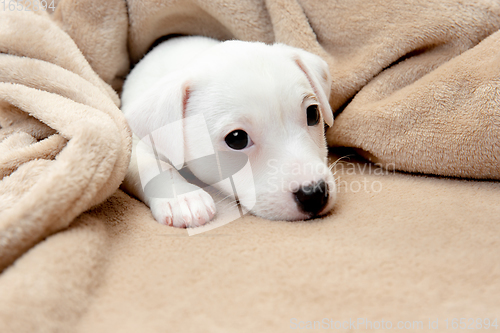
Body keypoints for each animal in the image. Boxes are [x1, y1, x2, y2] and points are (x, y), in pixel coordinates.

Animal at [122, 37, 336, 228]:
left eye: (313, 113)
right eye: (237, 139)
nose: (314, 194)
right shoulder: (136, 140)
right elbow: (148, 164)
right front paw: (183, 197)